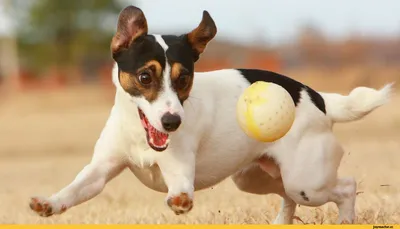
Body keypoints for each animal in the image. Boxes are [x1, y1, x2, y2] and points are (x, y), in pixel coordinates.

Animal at [28, 4, 394, 224]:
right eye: (145, 77)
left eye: (184, 78)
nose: (172, 122)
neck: (139, 133)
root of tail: (319, 99)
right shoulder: (101, 169)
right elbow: (74, 190)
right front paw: (48, 204)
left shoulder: (179, 170)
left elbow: (181, 190)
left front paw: (180, 203)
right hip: (257, 177)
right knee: (288, 198)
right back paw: (281, 223)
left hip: (307, 181)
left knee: (346, 186)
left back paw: (346, 221)